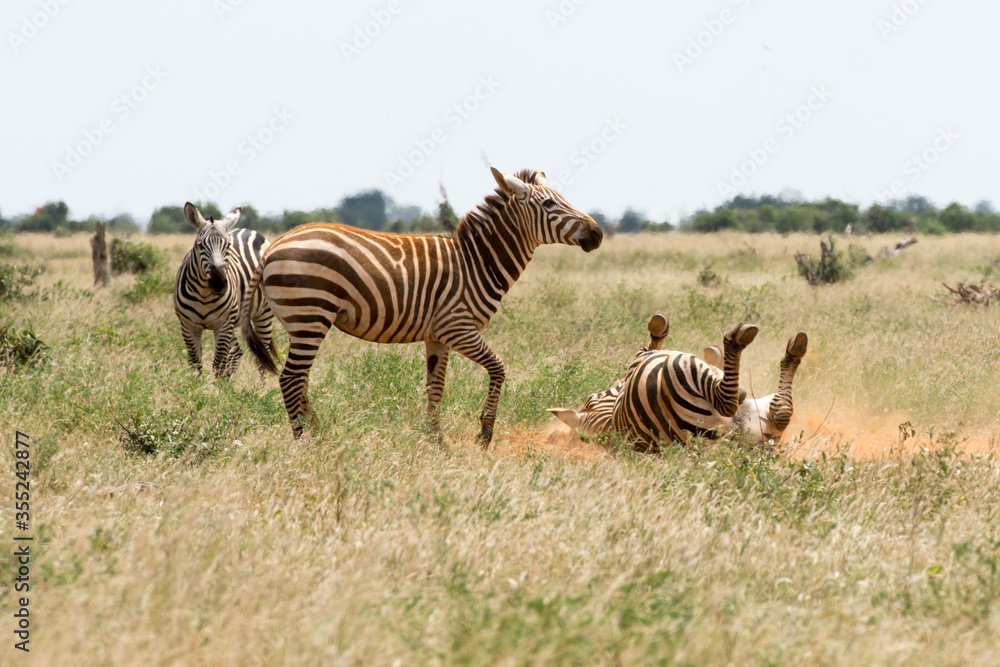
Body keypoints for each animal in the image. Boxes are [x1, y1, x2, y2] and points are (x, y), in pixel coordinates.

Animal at [174, 202, 276, 377]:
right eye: (200, 245)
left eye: (227, 246)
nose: (218, 282)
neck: (204, 295)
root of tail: (248, 230)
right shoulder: (188, 326)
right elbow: (195, 363)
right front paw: (195, 384)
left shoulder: (223, 325)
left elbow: (218, 363)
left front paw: (218, 385)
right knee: (236, 353)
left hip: (263, 315)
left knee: (262, 356)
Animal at [239, 167, 604, 445]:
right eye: (549, 203)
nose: (598, 233)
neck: (477, 263)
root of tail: (274, 246)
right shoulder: (458, 328)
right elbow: (499, 368)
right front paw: (484, 434)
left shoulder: (436, 336)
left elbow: (435, 388)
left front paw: (436, 442)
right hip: (309, 315)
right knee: (291, 379)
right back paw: (307, 440)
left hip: (302, 320)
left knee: (298, 379)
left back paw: (320, 434)